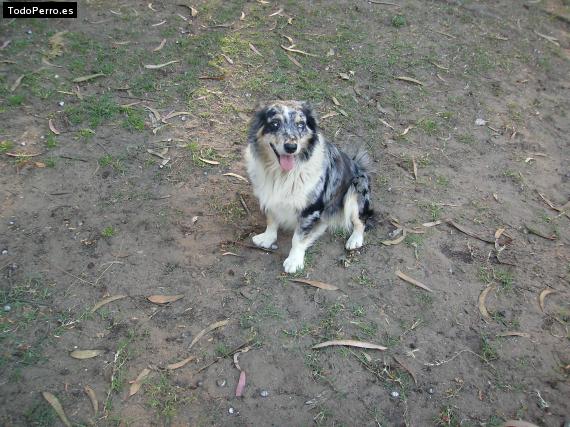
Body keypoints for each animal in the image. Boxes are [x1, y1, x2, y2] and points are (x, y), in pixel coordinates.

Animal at [245, 101, 374, 273]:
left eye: (301, 124)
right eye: (275, 123)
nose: (291, 147)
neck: (283, 174)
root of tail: (360, 167)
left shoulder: (310, 210)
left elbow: (298, 238)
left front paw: (294, 261)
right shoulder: (270, 198)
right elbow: (271, 220)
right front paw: (267, 238)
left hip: (355, 190)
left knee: (361, 220)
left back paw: (355, 240)